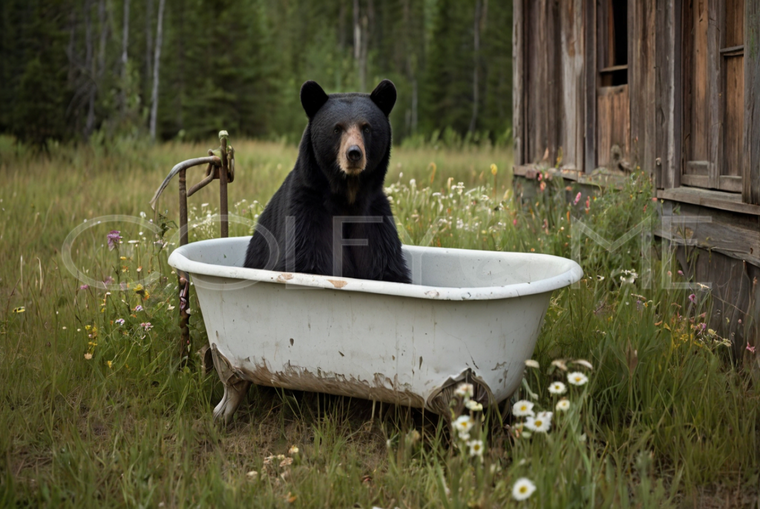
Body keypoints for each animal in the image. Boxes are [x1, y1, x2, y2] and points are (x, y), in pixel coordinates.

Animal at [243, 79, 412, 284]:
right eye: (337, 128)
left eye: (366, 127)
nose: (354, 154)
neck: (348, 193)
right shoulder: (306, 212)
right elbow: (306, 259)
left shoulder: (375, 216)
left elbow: (385, 265)